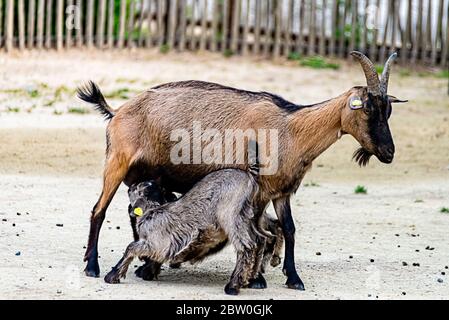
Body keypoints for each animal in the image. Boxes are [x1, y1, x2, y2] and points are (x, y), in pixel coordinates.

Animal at [78, 50, 406, 290]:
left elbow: (289, 228)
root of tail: (118, 111)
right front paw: (257, 278)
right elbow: (258, 230)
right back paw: (93, 267)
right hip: (116, 162)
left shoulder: (281, 190)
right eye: (367, 108)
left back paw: (146, 266)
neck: (291, 129)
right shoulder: (257, 191)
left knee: (134, 213)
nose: (389, 153)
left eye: (389, 110)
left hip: (147, 176)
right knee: (98, 211)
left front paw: (293, 278)